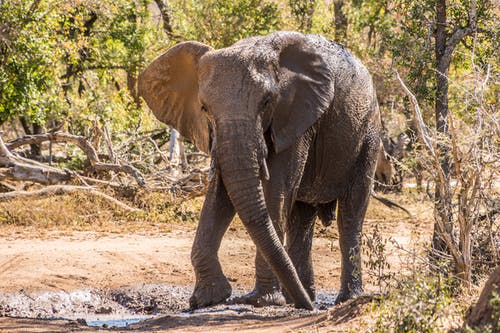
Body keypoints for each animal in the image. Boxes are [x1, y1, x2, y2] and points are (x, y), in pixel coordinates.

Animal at [139, 30, 380, 308]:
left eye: (266, 102)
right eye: (204, 108)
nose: (309, 309)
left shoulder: (296, 118)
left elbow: (275, 191)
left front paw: (263, 301)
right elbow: (221, 192)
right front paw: (208, 299)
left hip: (368, 134)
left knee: (351, 213)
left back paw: (343, 299)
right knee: (301, 219)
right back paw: (301, 297)